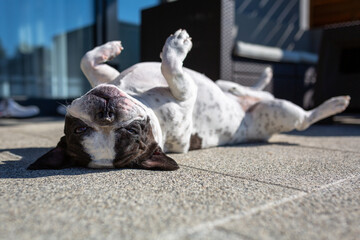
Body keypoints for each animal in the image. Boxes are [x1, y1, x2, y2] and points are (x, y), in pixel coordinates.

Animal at [28, 29, 352, 171]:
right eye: (82, 130)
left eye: (131, 130)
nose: (105, 113)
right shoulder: (186, 94)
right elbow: (171, 69)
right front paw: (177, 45)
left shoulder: (107, 78)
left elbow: (86, 60)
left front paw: (109, 47)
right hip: (281, 112)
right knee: (304, 119)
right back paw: (336, 104)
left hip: (231, 87)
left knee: (243, 87)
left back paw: (258, 79)